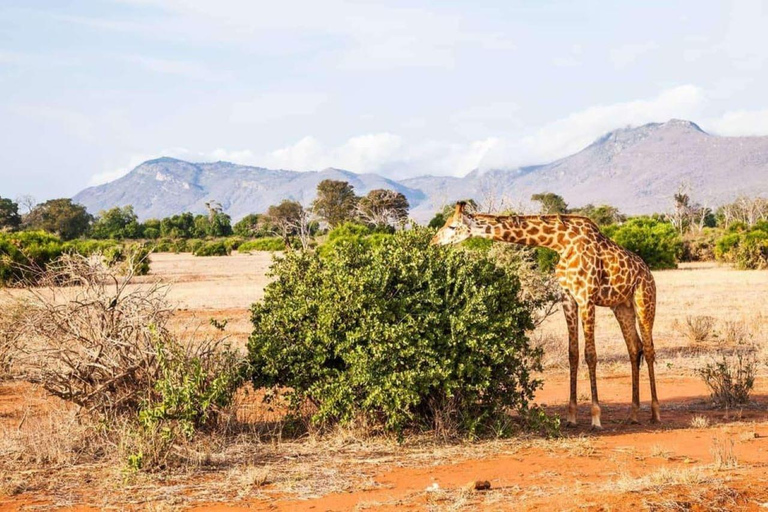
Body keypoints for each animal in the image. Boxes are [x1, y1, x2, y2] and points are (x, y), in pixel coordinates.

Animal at [432, 202, 660, 430]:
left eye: (452, 226)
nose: (433, 242)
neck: (560, 243)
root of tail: (648, 271)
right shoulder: (568, 298)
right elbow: (573, 354)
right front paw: (571, 416)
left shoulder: (586, 297)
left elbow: (591, 355)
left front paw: (596, 417)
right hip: (622, 307)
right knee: (634, 348)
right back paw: (633, 414)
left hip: (645, 300)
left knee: (649, 350)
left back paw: (655, 413)